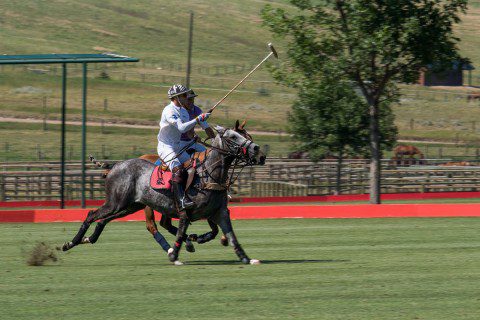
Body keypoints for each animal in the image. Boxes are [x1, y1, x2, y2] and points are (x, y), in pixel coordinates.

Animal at [61, 122, 266, 264]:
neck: (209, 174)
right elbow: (182, 231)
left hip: (130, 206)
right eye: (233, 136)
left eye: (246, 134)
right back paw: (71, 242)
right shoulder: (186, 212)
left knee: (103, 220)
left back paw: (88, 239)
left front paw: (246, 258)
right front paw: (175, 254)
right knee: (92, 214)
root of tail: (114, 166)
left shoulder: (220, 212)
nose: (259, 152)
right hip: (116, 202)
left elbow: (230, 236)